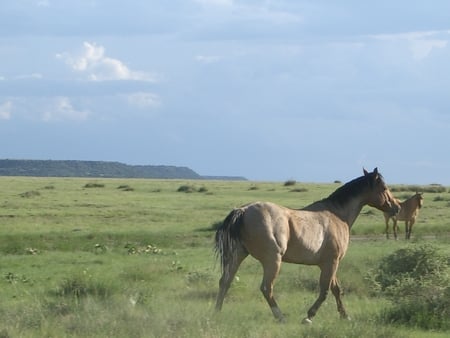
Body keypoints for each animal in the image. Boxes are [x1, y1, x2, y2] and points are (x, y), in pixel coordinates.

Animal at [214, 168, 400, 324]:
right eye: (384, 187)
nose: (396, 207)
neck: (338, 216)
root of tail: (243, 210)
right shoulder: (332, 262)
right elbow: (325, 291)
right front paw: (309, 317)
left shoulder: (328, 264)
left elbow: (336, 289)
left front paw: (345, 316)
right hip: (272, 261)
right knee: (266, 288)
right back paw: (281, 317)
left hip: (237, 255)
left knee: (225, 282)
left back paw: (217, 313)